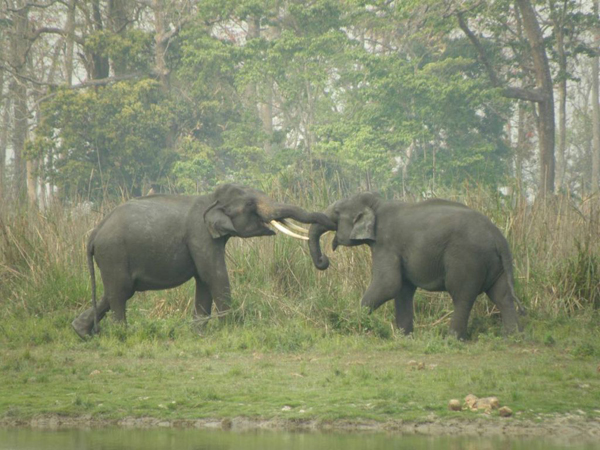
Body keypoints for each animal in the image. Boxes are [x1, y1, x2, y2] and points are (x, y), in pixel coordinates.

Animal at [71, 182, 336, 338]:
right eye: (250, 204)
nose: (324, 260)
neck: (210, 198)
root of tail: (94, 233)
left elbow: (203, 280)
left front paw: (198, 334)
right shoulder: (199, 234)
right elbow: (214, 275)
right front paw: (230, 329)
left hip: (111, 258)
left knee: (115, 291)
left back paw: (82, 332)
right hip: (114, 253)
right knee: (119, 292)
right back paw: (121, 334)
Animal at [310, 192, 524, 340]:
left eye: (337, 213)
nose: (324, 260)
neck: (377, 204)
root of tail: (498, 237)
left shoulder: (387, 243)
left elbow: (388, 285)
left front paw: (351, 324)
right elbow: (402, 289)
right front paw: (404, 337)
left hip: (467, 259)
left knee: (462, 295)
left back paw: (452, 339)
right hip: (496, 263)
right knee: (502, 296)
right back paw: (511, 338)